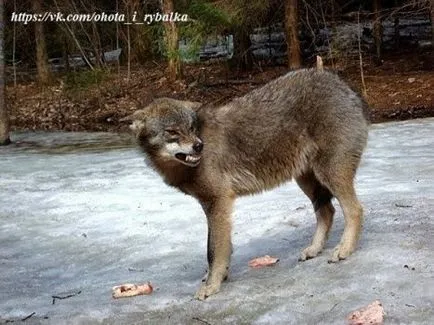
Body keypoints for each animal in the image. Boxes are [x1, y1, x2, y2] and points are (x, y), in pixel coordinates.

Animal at [122, 68, 370, 298]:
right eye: (172, 131)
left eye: (191, 128)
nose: (199, 146)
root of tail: (345, 87)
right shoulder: (212, 206)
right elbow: (220, 247)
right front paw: (218, 276)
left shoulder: (218, 202)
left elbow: (213, 250)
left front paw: (211, 286)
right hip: (307, 181)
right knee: (327, 211)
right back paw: (314, 249)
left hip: (330, 174)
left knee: (355, 210)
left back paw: (344, 249)